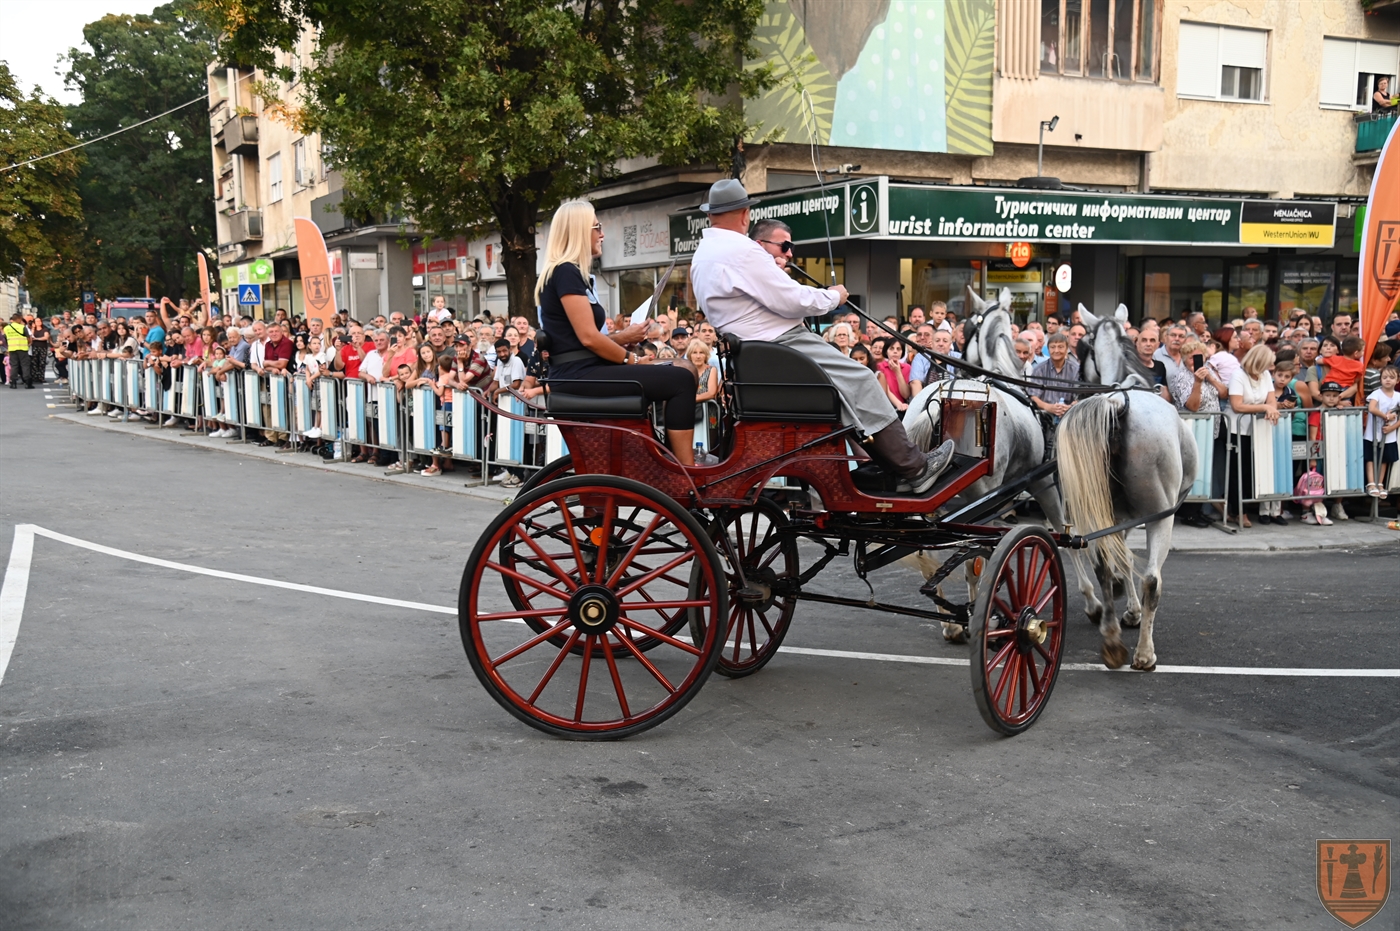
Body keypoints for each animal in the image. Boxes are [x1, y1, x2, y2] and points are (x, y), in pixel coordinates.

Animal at [1056, 303, 1198, 671]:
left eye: (1083, 348)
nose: (1076, 383)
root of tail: (1118, 404)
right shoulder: (1138, 516)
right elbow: (1130, 563)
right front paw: (1133, 612)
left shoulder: (1115, 515)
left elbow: (1116, 559)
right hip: (1162, 515)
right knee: (1151, 578)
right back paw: (1144, 653)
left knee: (1101, 565)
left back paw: (1110, 637)